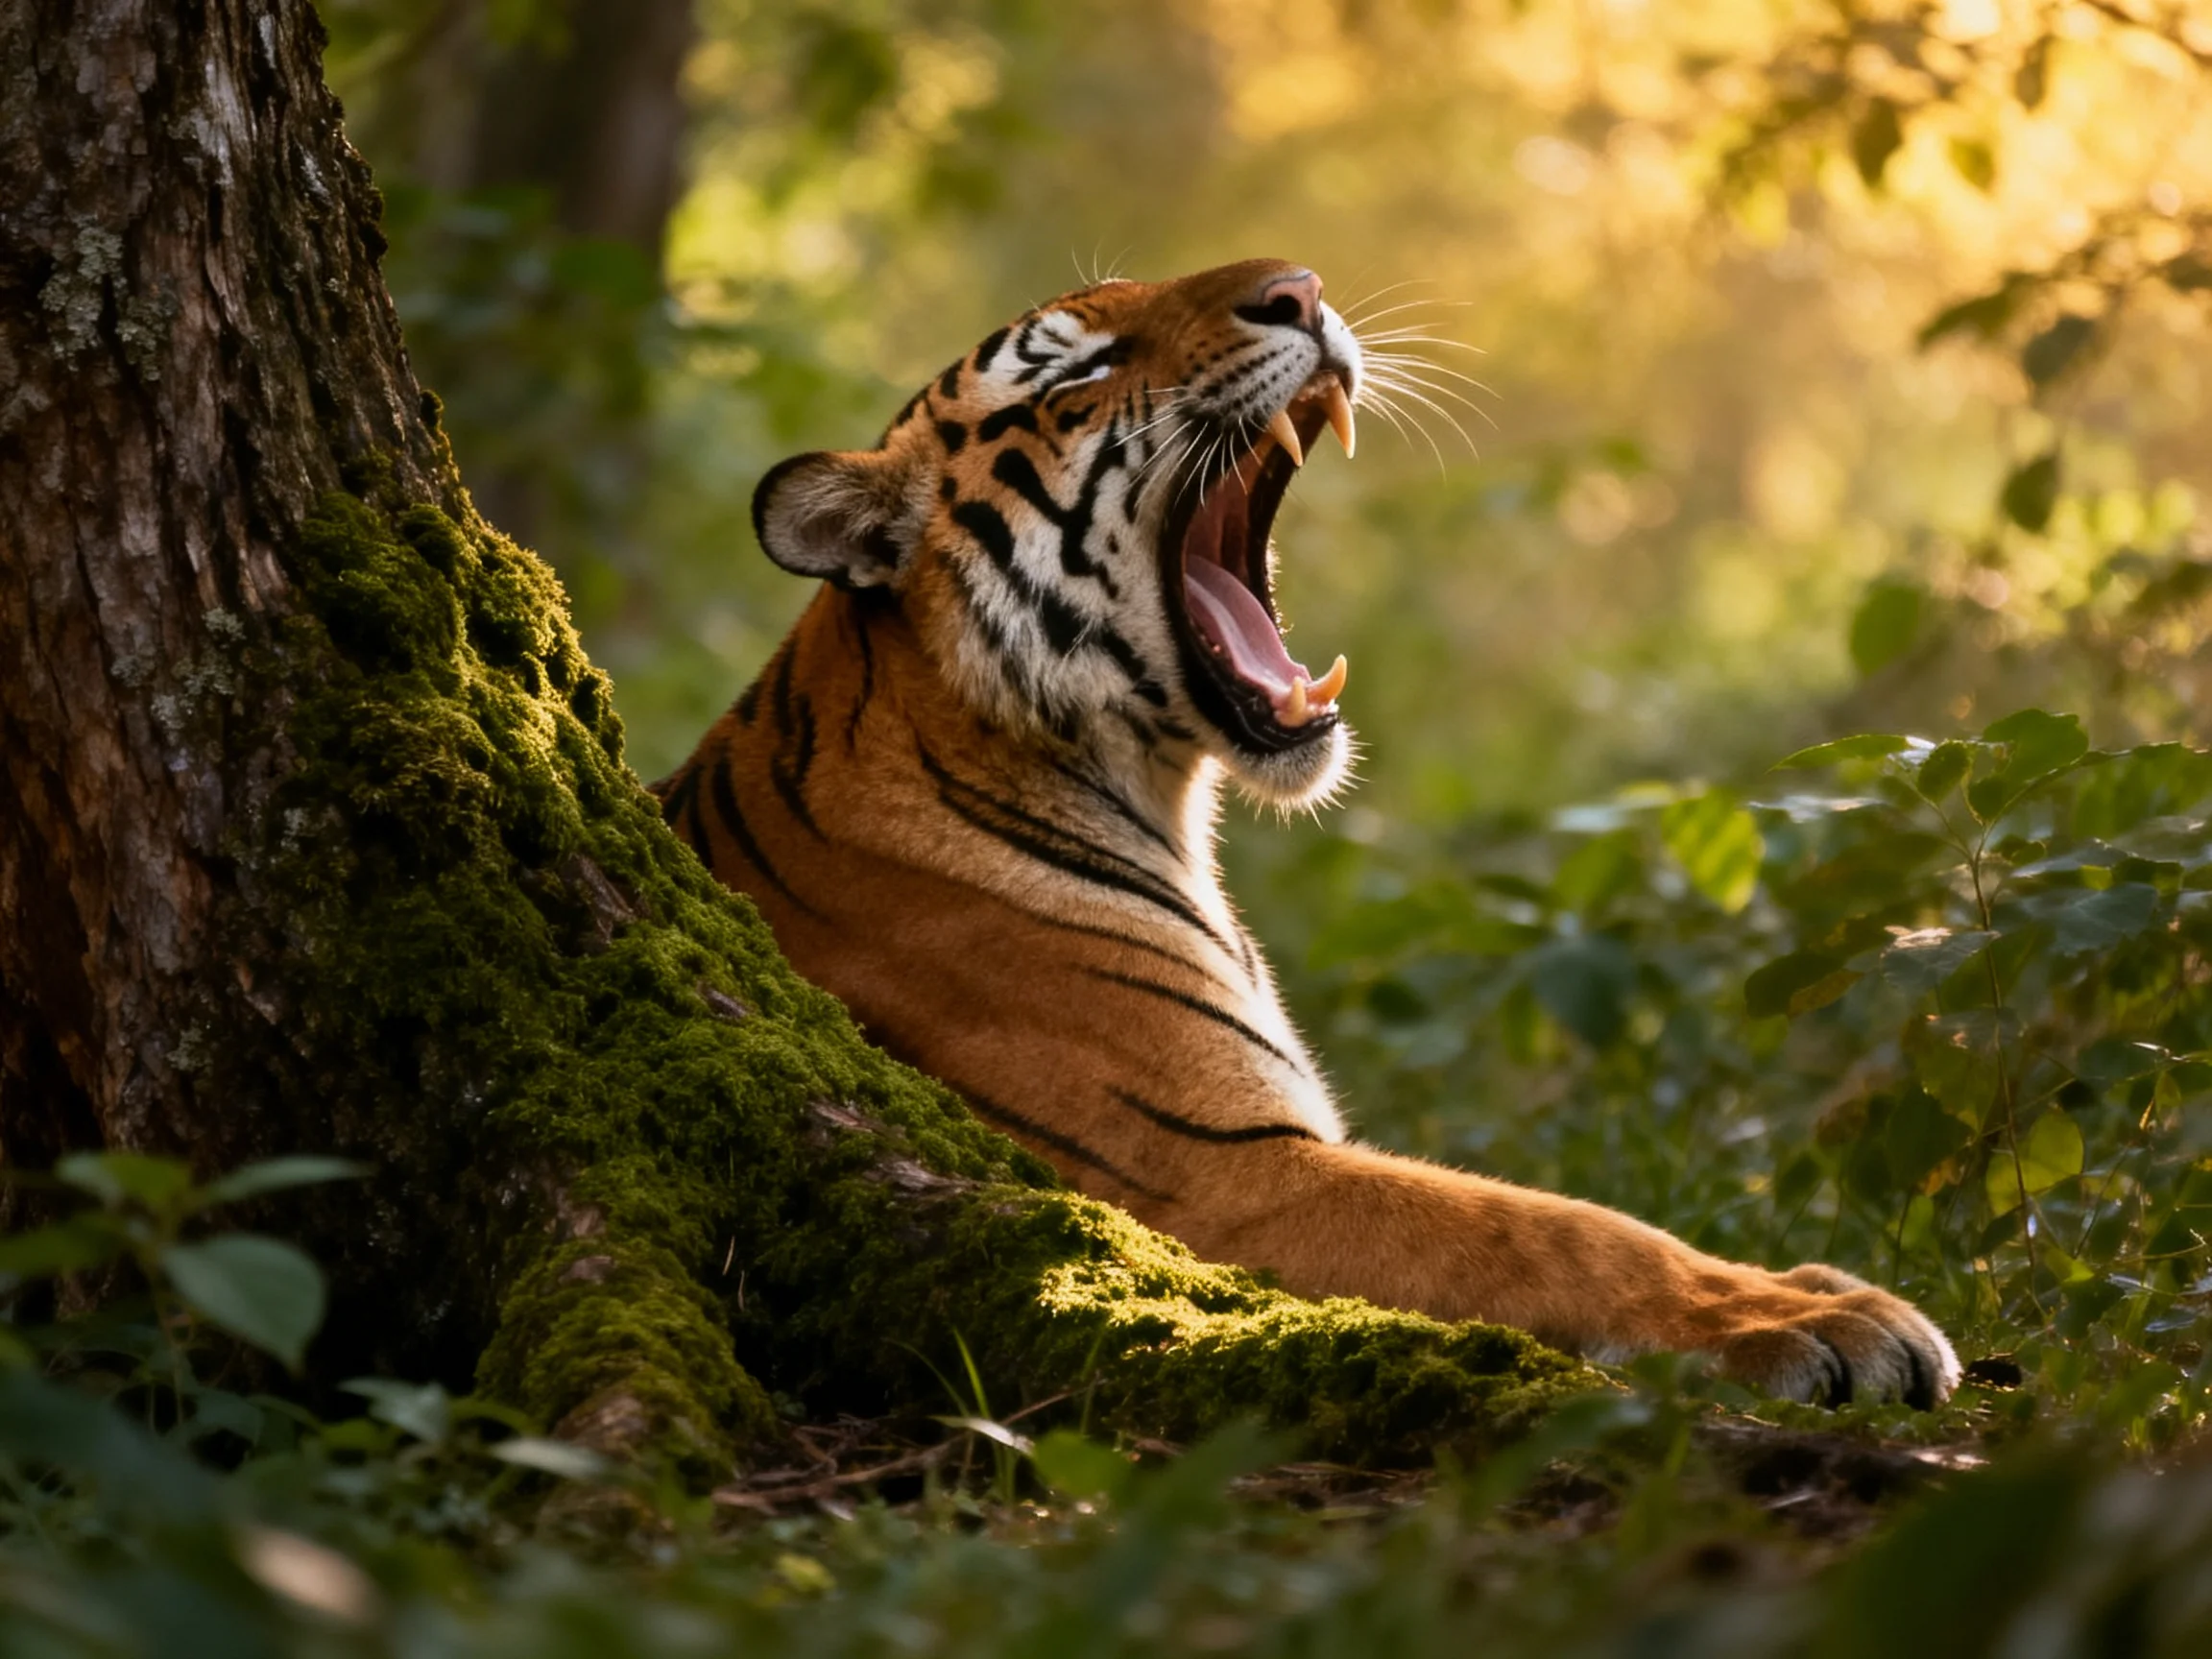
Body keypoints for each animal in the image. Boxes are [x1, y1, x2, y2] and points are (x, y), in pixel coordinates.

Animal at [654, 258, 1961, 1408]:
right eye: (1079, 369)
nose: (1300, 289)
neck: (1154, 792)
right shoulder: (1221, 1178)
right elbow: (1558, 1230)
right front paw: (1827, 1322)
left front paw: (1817, 1285)